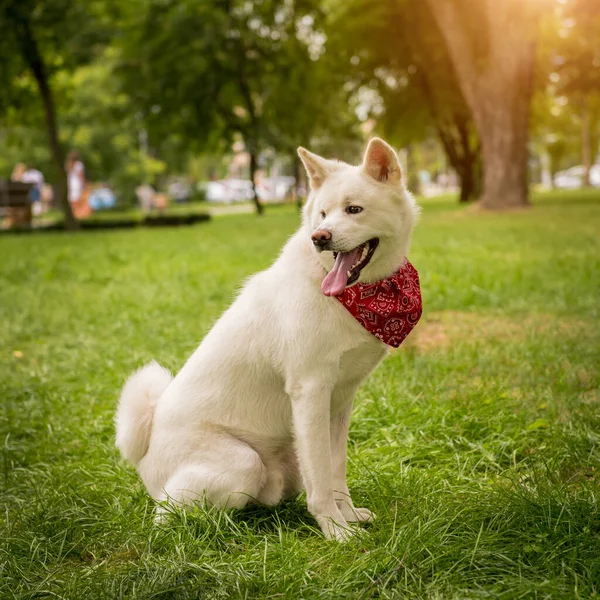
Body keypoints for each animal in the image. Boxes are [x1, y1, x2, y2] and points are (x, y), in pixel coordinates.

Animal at [115, 138, 420, 540]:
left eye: (354, 209)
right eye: (322, 214)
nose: (319, 237)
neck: (355, 297)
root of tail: (144, 451)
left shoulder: (339, 402)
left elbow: (335, 470)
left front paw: (349, 516)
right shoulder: (311, 393)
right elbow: (321, 480)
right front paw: (336, 531)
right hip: (243, 462)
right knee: (166, 515)